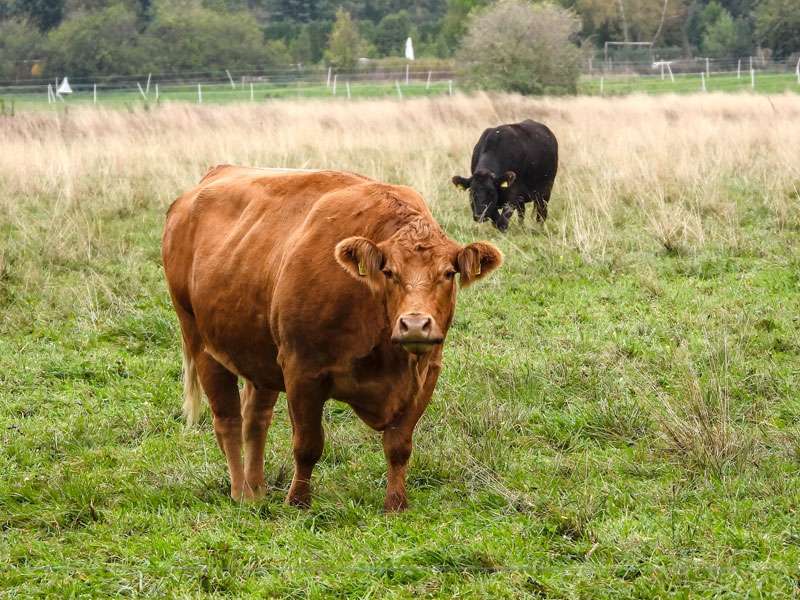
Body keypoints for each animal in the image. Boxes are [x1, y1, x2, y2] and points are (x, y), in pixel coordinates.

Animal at [160, 164, 504, 510]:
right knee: (228, 420)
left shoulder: (426, 373)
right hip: (201, 342)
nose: (416, 324)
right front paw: (298, 501)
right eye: (389, 272)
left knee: (255, 420)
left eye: (448, 273)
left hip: (259, 355)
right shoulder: (302, 370)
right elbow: (308, 445)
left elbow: (399, 445)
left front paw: (395, 504)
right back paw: (241, 493)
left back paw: (257, 490)